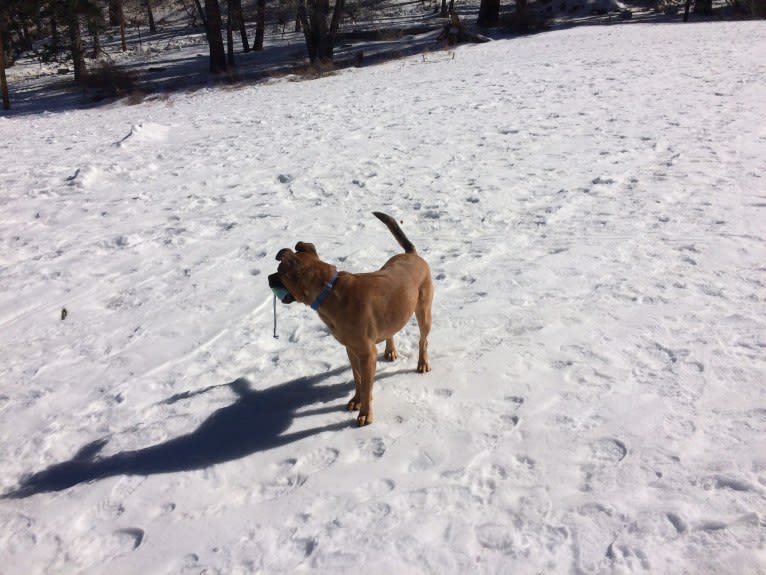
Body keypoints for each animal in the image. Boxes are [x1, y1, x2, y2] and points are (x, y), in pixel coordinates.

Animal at [272, 213, 436, 428]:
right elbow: (357, 378)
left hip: (423, 310)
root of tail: (412, 254)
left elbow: (366, 385)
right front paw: (356, 400)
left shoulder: (366, 353)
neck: (328, 290)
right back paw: (390, 350)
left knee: (423, 340)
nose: (268, 279)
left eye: (279, 272)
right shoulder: (351, 349)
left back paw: (423, 363)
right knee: (391, 330)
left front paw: (365, 413)